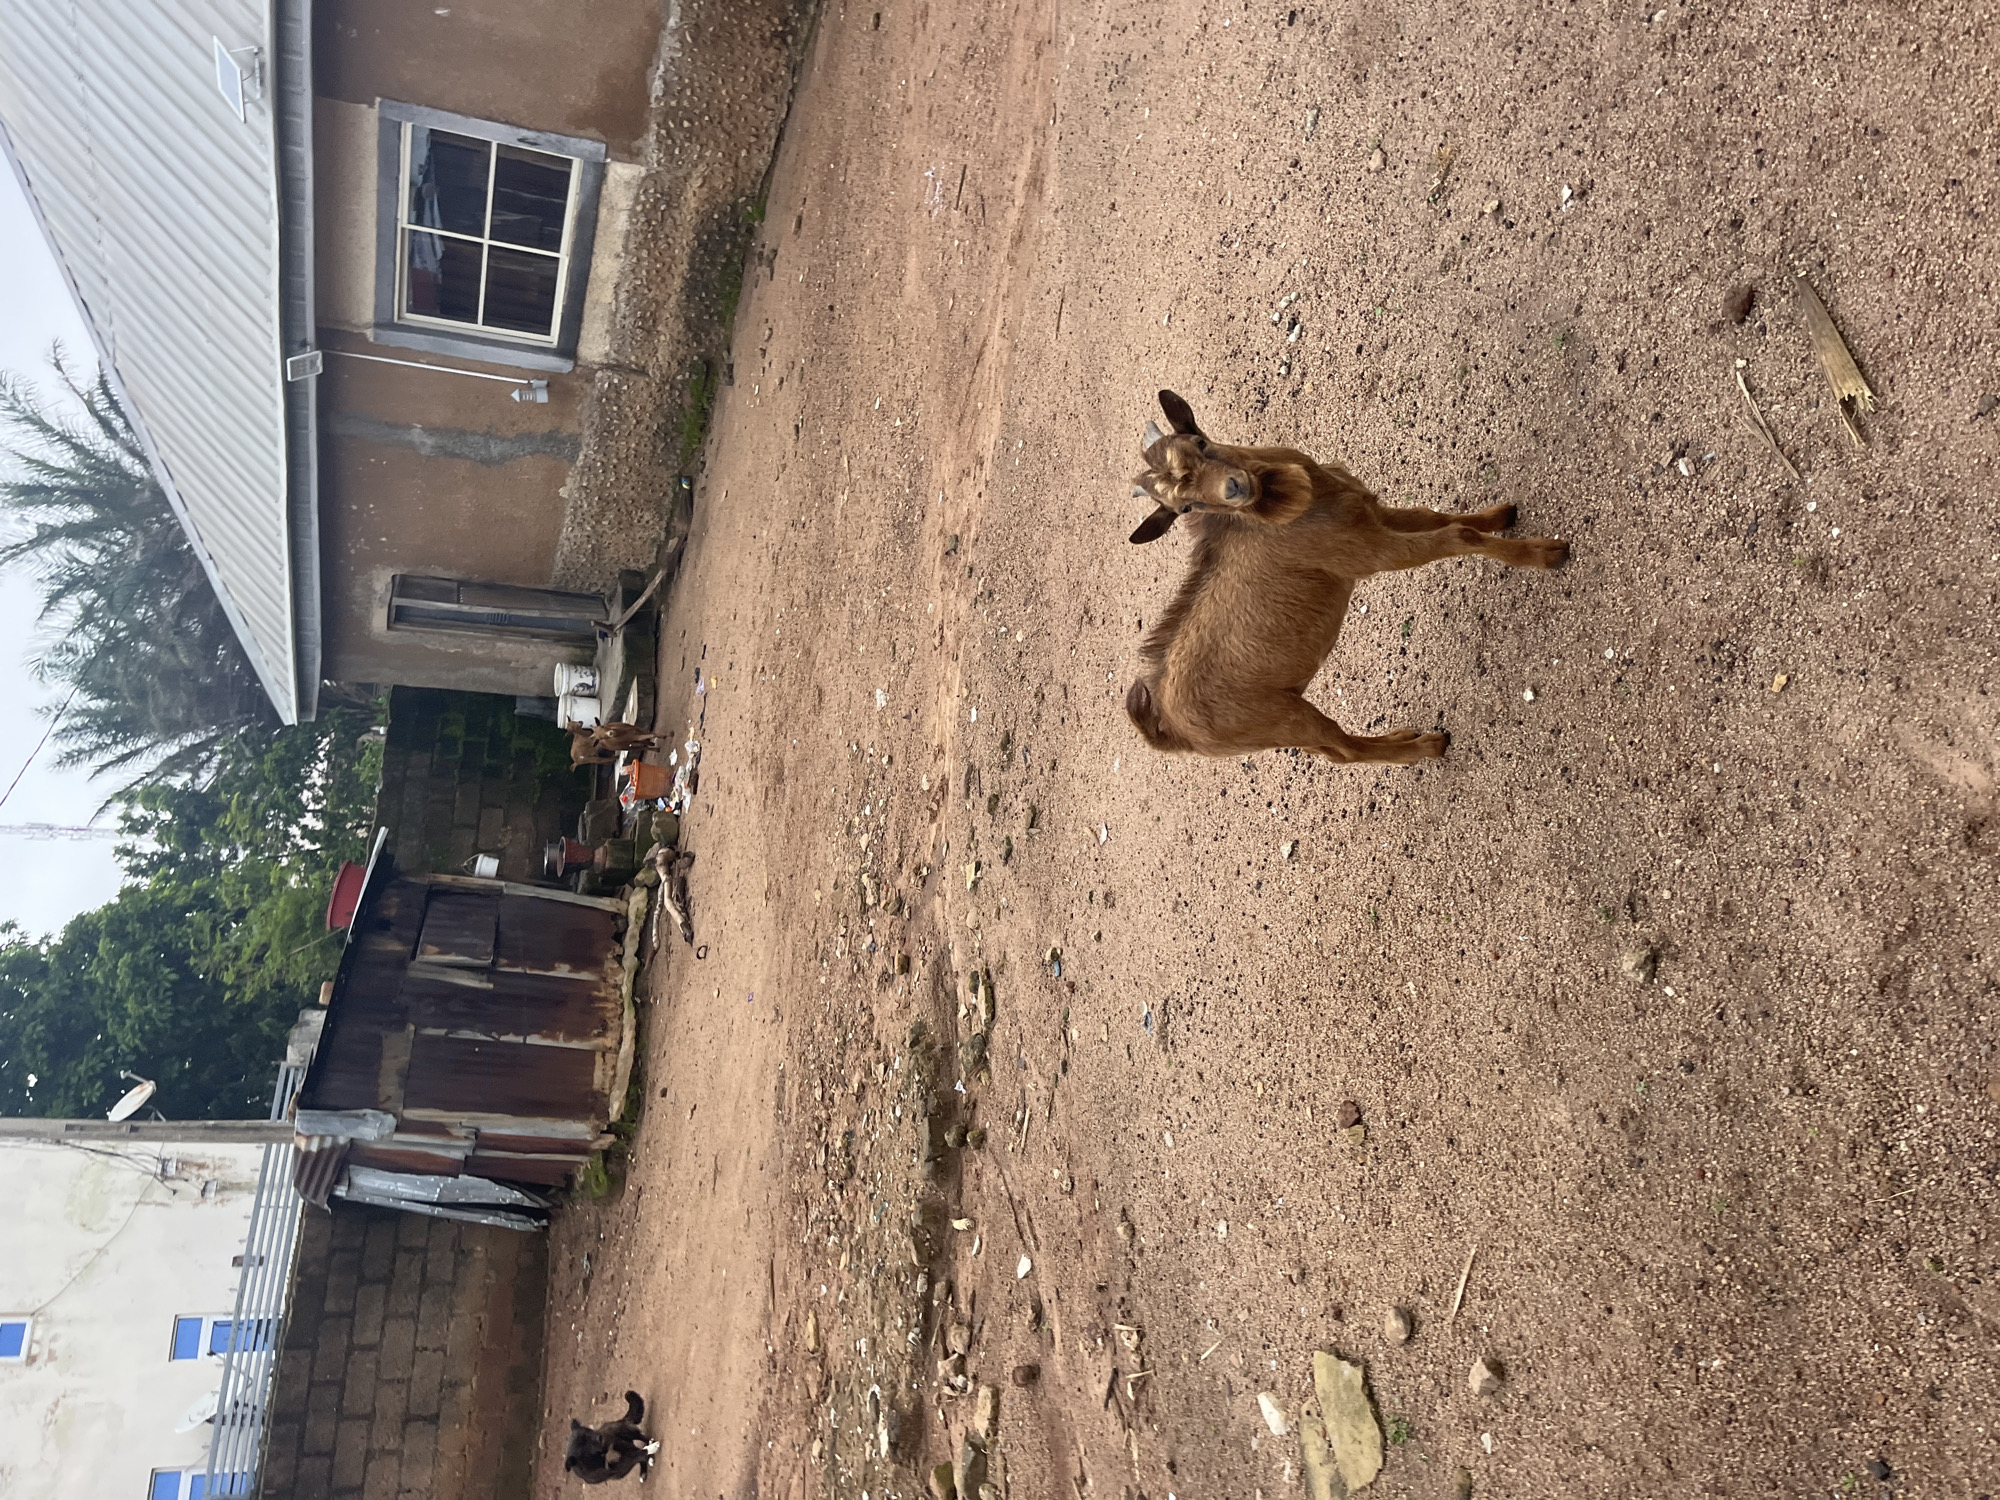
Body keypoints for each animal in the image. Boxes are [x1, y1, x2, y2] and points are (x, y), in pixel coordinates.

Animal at [1123, 390, 1567, 764]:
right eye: (1185, 507)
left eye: (1199, 443)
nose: (1235, 488)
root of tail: (1169, 730)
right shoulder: (1368, 553)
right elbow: (1456, 535)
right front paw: (1546, 554)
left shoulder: (1373, 517)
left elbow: (1434, 516)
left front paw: (1502, 515)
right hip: (1287, 718)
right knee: (1344, 751)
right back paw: (1427, 745)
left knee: (1333, 750)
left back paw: (1403, 737)